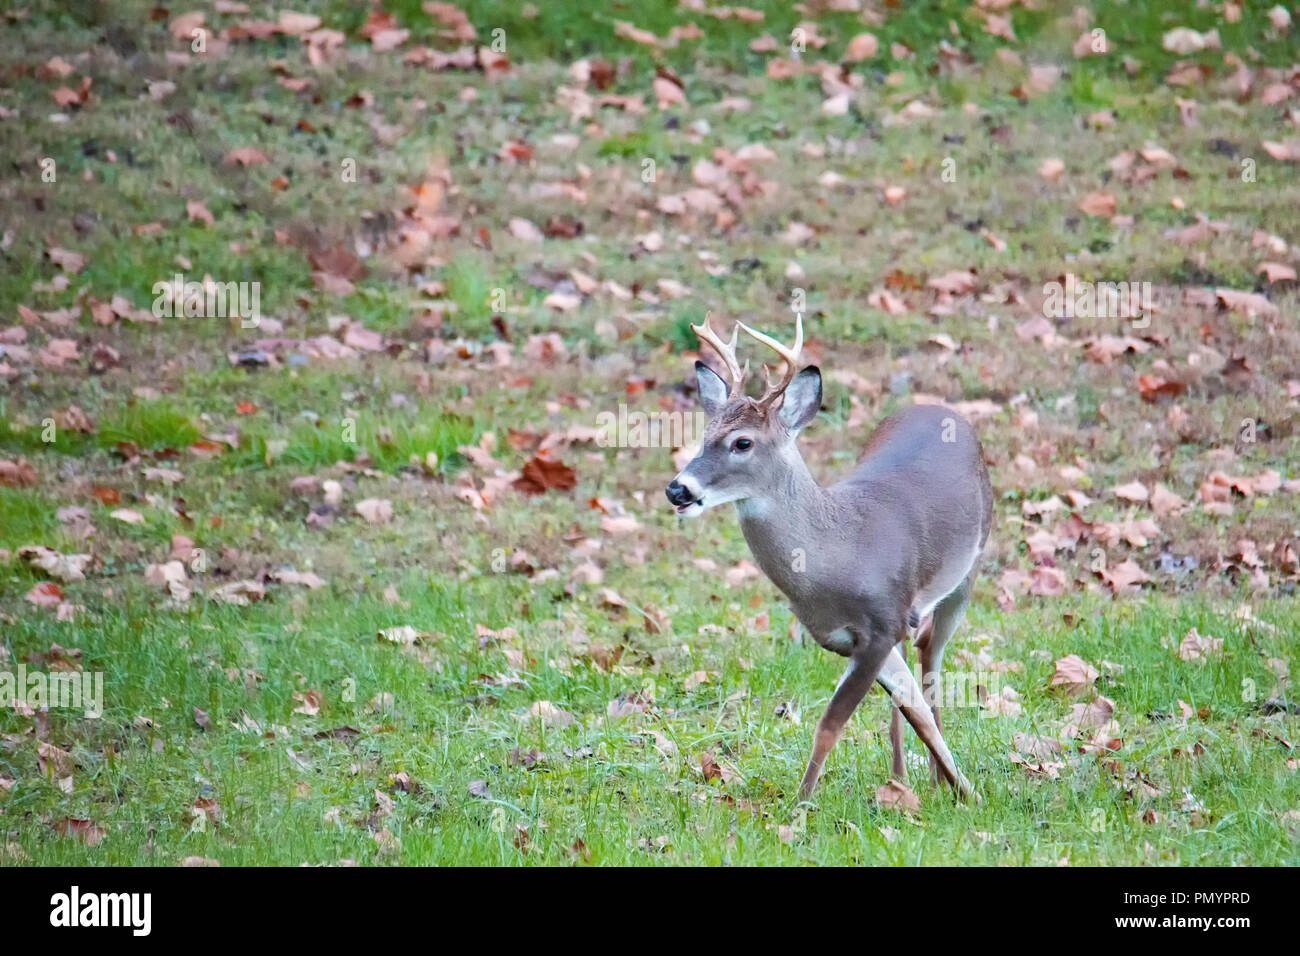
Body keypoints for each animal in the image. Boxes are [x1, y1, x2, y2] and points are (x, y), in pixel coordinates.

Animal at [670, 316, 993, 801]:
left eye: (742, 442)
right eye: (704, 437)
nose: (678, 489)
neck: (835, 555)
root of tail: (940, 409)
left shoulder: (880, 627)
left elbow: (833, 723)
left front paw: (800, 806)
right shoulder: (853, 635)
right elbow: (905, 704)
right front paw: (955, 787)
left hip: (970, 567)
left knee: (932, 655)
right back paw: (902, 776)